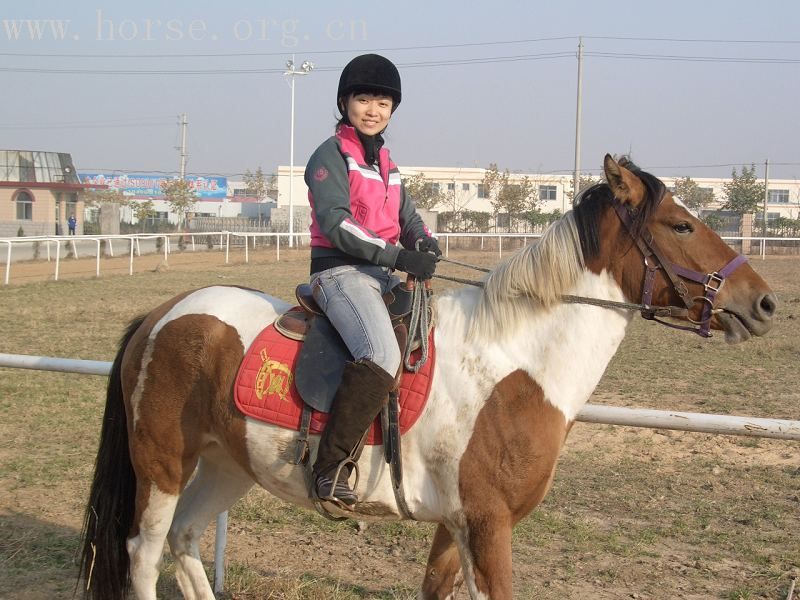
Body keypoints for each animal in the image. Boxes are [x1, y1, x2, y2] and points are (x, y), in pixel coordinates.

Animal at [75, 156, 776, 600]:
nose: (765, 301)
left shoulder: (457, 524)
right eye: (681, 224)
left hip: (227, 464)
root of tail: (162, 314)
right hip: (163, 464)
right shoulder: (489, 527)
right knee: (144, 555)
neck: (512, 363)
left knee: (186, 540)